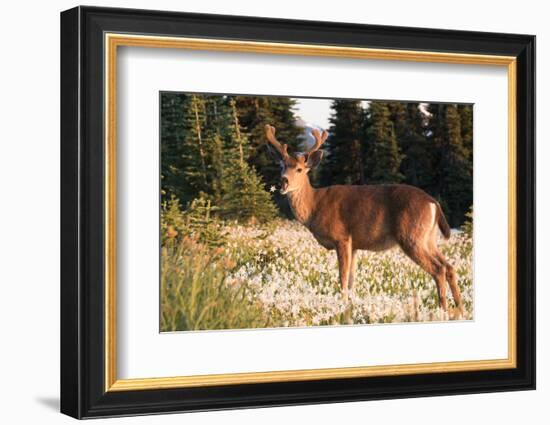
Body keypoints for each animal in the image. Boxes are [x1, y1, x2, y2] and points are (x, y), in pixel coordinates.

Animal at [266, 124, 466, 316]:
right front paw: (350, 305)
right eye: (282, 166)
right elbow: (352, 279)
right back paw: (460, 309)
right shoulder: (354, 245)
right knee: (449, 267)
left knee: (438, 269)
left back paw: (443, 309)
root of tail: (434, 203)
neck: (315, 206)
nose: (283, 181)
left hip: (411, 236)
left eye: (299, 169)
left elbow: (343, 277)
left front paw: (342, 305)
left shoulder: (342, 237)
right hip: (429, 238)